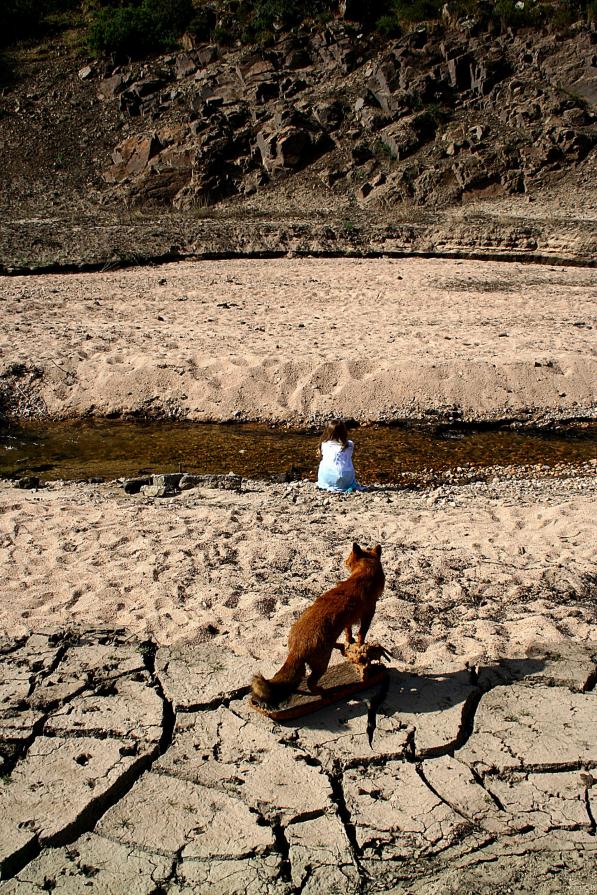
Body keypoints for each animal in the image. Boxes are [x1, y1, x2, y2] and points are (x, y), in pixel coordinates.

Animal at [250, 544, 382, 712]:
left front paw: (350, 641)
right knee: (310, 683)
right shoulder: (368, 613)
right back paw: (324, 692)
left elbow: (349, 632)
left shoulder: (349, 620)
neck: (364, 574)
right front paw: (359, 644)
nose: (344, 562)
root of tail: (296, 648)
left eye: (347, 558)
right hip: (322, 663)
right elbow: (361, 634)